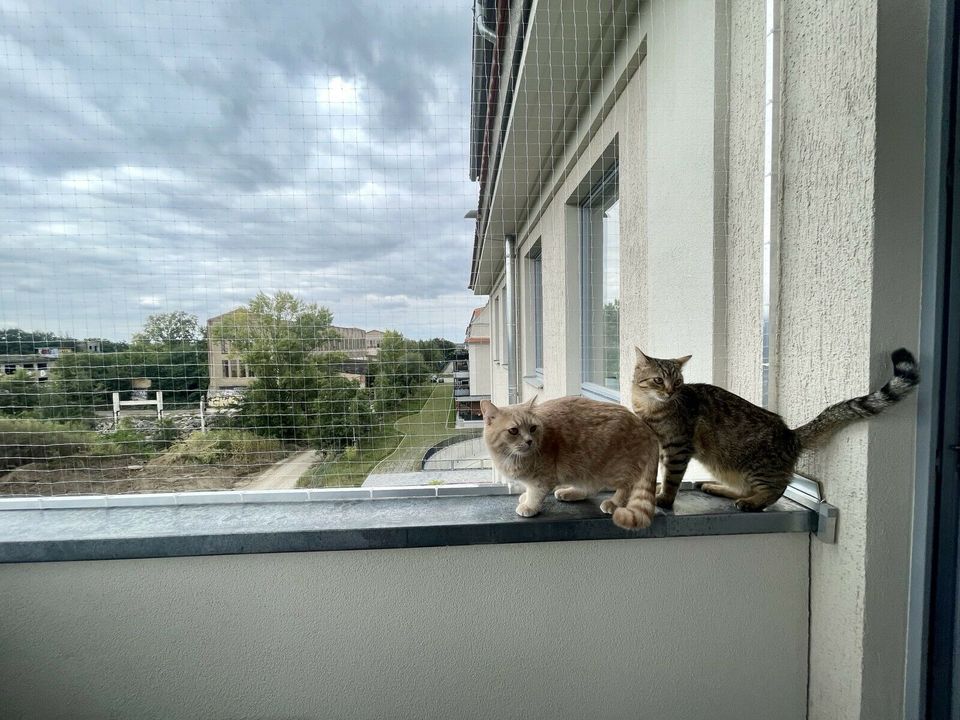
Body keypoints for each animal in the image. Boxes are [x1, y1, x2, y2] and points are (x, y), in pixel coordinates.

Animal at [480, 394, 660, 528]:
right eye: (513, 431)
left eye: (532, 428)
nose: (529, 441)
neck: (510, 457)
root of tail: (646, 428)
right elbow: (529, 489)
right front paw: (525, 496)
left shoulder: (542, 478)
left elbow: (536, 493)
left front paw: (529, 505)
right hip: (584, 469)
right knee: (590, 488)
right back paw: (570, 492)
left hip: (611, 469)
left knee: (627, 485)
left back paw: (614, 503)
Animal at [632, 348, 924, 512]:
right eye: (658, 380)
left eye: (678, 382)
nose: (670, 391)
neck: (650, 409)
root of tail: (791, 434)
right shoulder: (661, 447)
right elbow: (659, 474)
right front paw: (656, 489)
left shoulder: (678, 447)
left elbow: (672, 478)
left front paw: (664, 498)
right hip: (726, 465)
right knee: (745, 488)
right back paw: (716, 488)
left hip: (754, 465)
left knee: (775, 489)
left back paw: (751, 503)